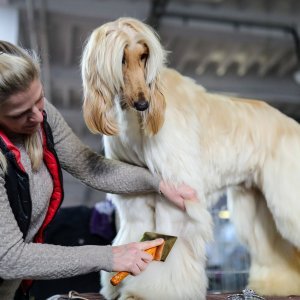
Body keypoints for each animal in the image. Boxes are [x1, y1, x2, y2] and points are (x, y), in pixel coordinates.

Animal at [81, 17, 300, 298]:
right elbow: (133, 234)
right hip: (257, 203)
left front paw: (152, 290)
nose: (143, 104)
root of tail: (291, 124)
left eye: (144, 55)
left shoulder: (177, 192)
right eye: (121, 59)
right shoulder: (136, 198)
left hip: (284, 192)